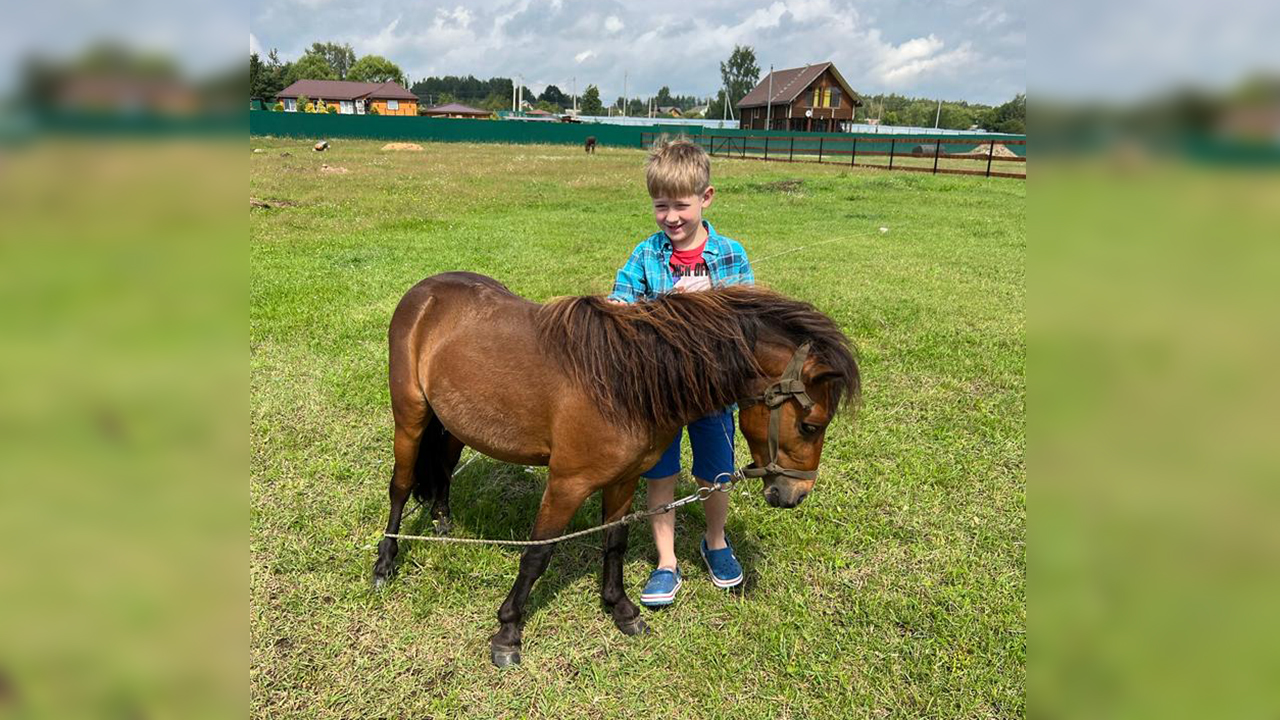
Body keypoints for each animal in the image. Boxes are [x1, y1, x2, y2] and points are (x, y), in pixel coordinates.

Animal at [373, 271, 860, 666]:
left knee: (444, 469)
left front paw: (621, 609)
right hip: (411, 416)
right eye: (811, 425)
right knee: (401, 485)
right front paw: (508, 630)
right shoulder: (566, 484)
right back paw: (385, 561)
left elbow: (615, 543)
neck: (625, 382)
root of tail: (425, 291)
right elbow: (536, 556)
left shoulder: (624, 480)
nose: (795, 496)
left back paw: (442, 520)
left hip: (456, 423)